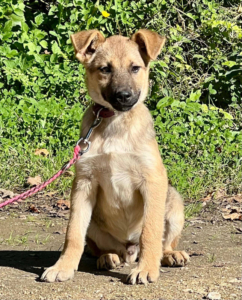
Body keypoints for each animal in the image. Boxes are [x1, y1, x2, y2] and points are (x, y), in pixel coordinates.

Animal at [41, 29, 189, 284]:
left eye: (135, 68)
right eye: (105, 69)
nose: (124, 96)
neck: (116, 123)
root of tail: (130, 250)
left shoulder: (153, 180)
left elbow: (150, 232)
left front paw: (146, 269)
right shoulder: (84, 183)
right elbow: (73, 233)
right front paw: (63, 266)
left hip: (174, 204)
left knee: (164, 242)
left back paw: (170, 255)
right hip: (95, 223)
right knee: (103, 247)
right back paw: (108, 257)